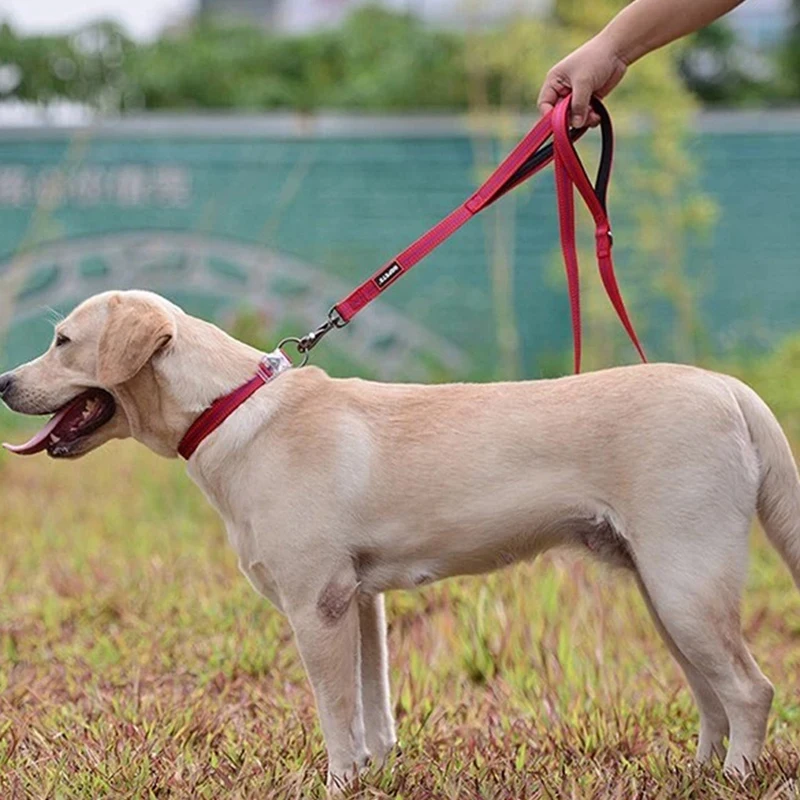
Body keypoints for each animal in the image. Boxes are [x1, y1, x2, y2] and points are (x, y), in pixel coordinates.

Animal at [1, 290, 800, 788]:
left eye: (62, 341)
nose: (2, 382)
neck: (227, 409)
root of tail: (732, 390)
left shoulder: (316, 606)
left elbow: (335, 713)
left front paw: (334, 782)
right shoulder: (360, 602)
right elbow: (373, 709)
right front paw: (374, 774)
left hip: (687, 587)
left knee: (751, 692)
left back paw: (736, 779)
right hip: (667, 596)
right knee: (713, 698)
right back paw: (699, 775)